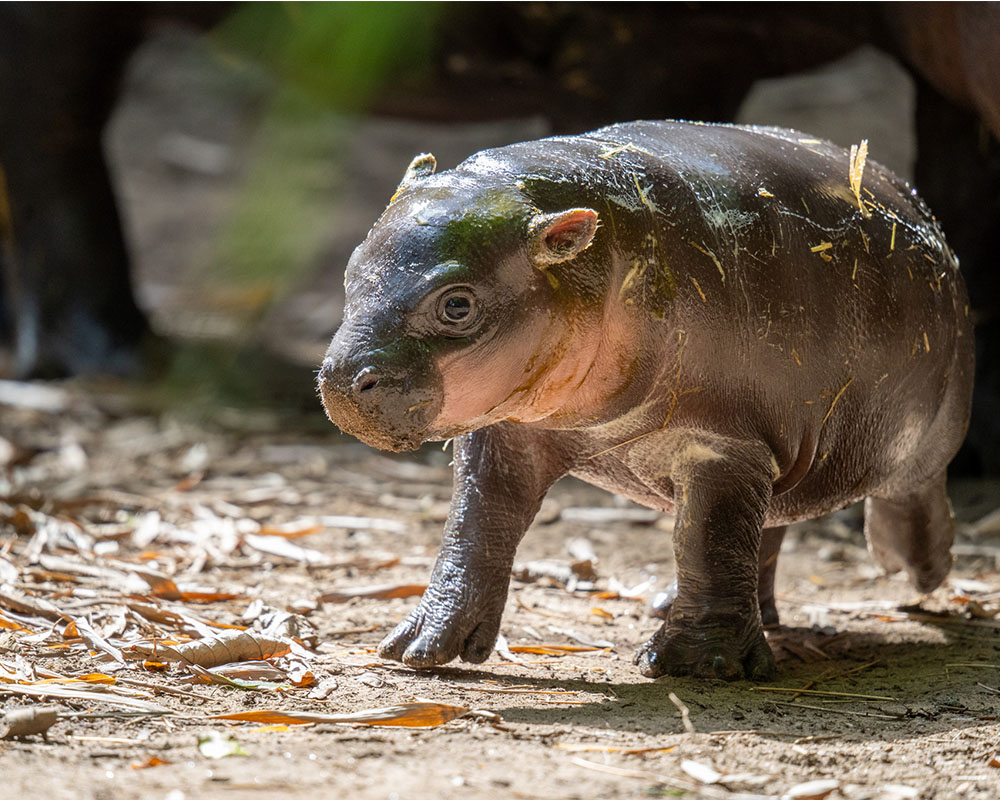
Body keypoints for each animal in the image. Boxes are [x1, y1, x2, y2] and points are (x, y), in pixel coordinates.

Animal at [318, 121, 974, 680]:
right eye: (349, 269)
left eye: (457, 304)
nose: (342, 380)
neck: (603, 258)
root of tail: (915, 204)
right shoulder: (508, 430)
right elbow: (475, 526)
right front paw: (420, 649)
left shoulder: (721, 444)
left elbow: (705, 537)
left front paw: (696, 666)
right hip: (781, 450)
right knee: (765, 528)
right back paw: (678, 604)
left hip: (916, 438)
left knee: (908, 495)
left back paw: (917, 571)